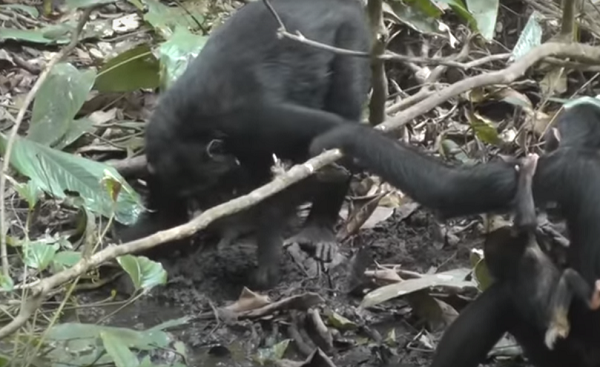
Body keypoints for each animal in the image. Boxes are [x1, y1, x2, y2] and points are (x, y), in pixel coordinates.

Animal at [118, 0, 372, 290]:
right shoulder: (161, 169)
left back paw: (318, 227)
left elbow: (321, 145)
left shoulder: (255, 122)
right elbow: (163, 222)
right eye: (193, 196)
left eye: (212, 190)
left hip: (352, 37)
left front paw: (262, 251)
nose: (206, 210)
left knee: (344, 107)